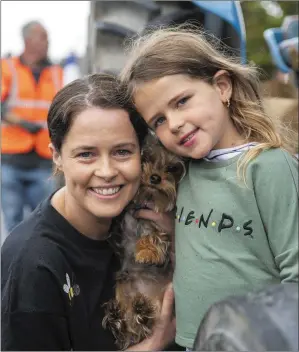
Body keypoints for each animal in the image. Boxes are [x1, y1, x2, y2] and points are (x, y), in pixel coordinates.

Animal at [104, 135, 186, 350]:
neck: (148, 198)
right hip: (123, 285)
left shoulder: (161, 223)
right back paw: (120, 316)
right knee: (129, 330)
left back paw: (140, 313)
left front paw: (147, 251)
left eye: (172, 168)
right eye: (146, 158)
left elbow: (154, 233)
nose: (155, 178)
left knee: (143, 326)